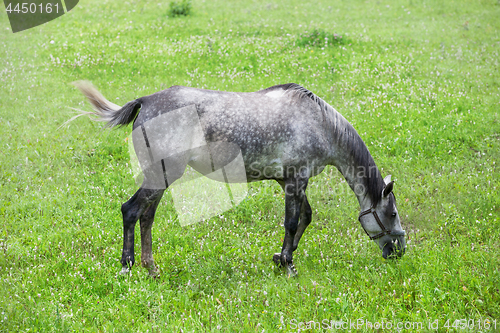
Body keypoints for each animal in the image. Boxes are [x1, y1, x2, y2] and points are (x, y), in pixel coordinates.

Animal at [74, 81, 404, 276]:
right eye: (392, 213)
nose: (399, 251)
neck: (320, 124)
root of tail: (145, 101)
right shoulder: (297, 180)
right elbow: (293, 221)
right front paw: (289, 265)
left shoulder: (288, 181)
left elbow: (306, 217)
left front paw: (281, 257)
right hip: (161, 175)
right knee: (130, 211)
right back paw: (127, 267)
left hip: (161, 178)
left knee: (146, 217)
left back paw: (151, 268)